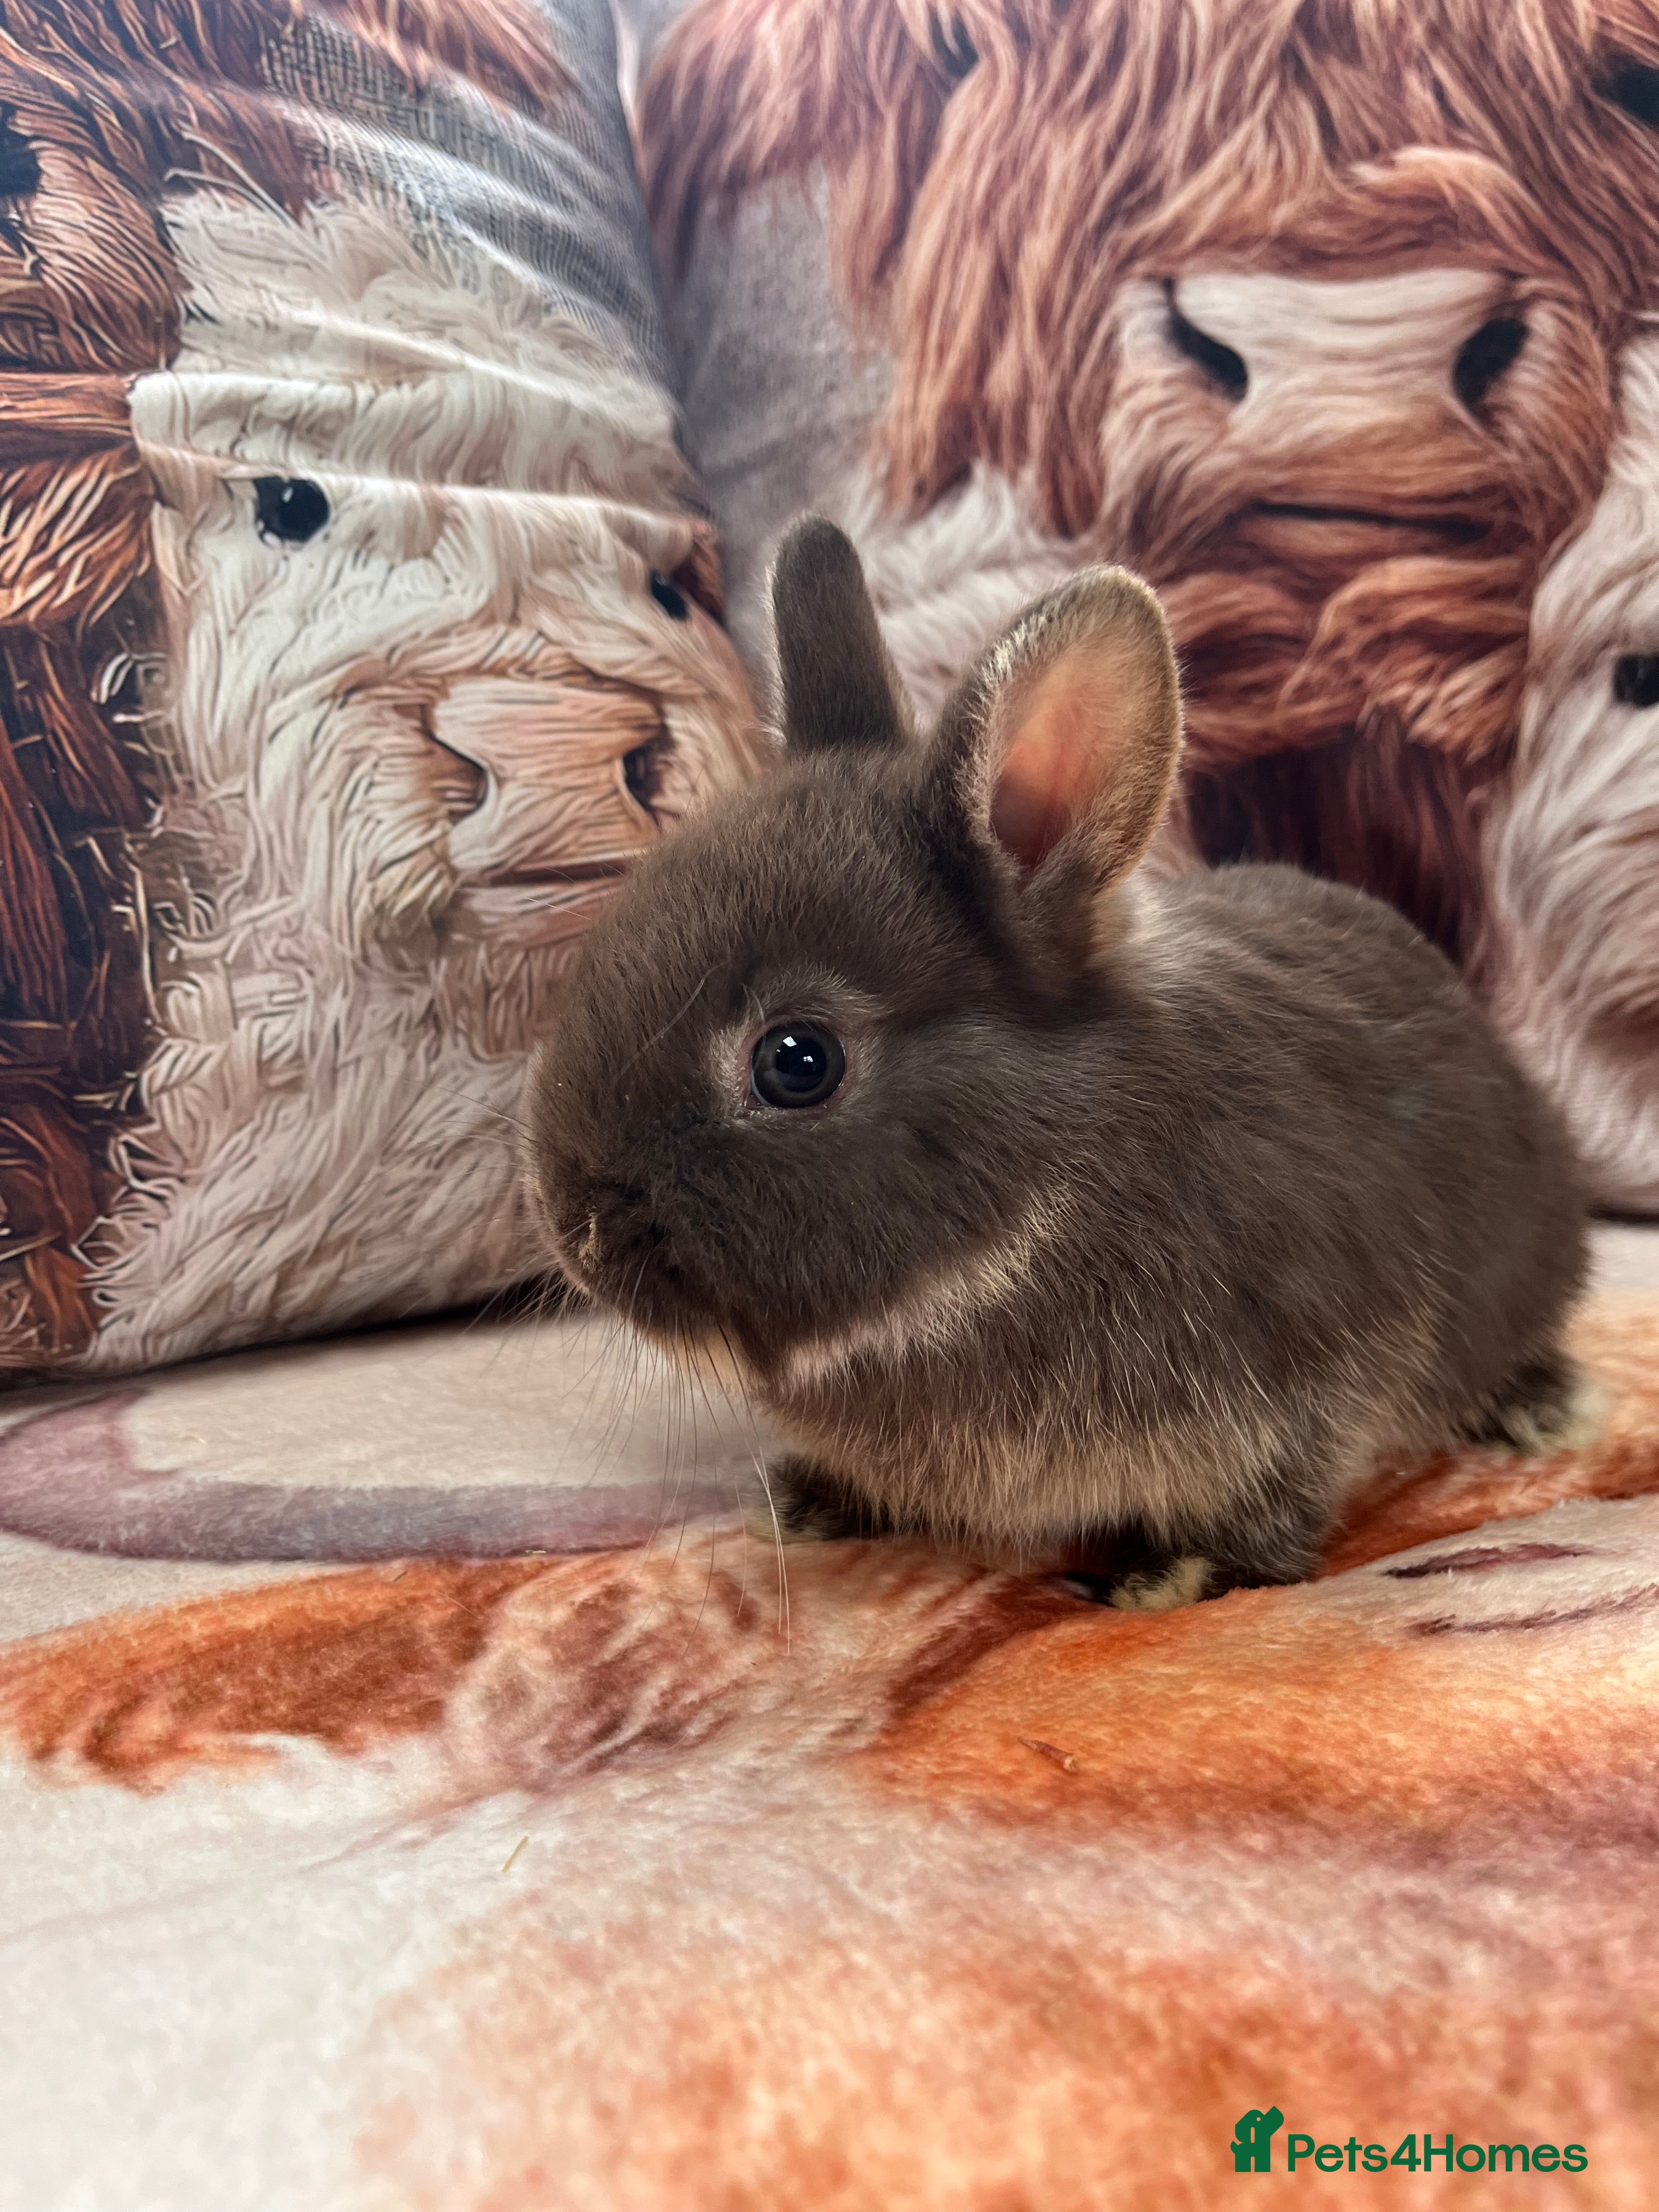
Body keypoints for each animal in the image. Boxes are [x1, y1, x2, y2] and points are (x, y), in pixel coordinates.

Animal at [527, 517, 1592, 1609]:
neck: (1028, 1226)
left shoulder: (1313, 1381)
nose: (575, 1232)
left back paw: (1534, 1407)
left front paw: (1163, 1576)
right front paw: (807, 1501)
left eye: (796, 1060)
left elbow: (1271, 1503)